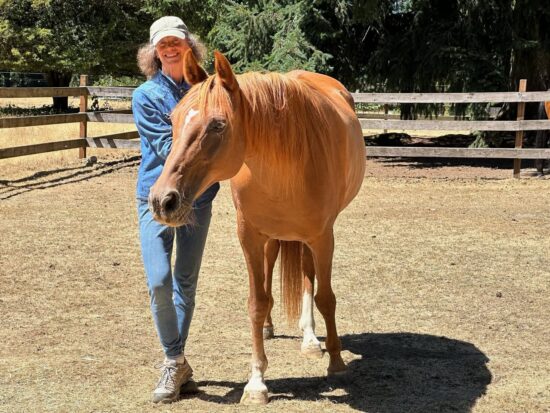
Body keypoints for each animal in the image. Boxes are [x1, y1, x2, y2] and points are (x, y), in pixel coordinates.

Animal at [148, 50, 366, 404]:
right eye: (173, 118)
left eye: (218, 124)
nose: (161, 200)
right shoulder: (248, 236)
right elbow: (256, 302)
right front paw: (256, 381)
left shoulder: (323, 237)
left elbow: (326, 297)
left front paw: (336, 362)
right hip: (272, 237)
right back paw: (269, 327)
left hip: (311, 239)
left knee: (308, 277)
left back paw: (310, 338)